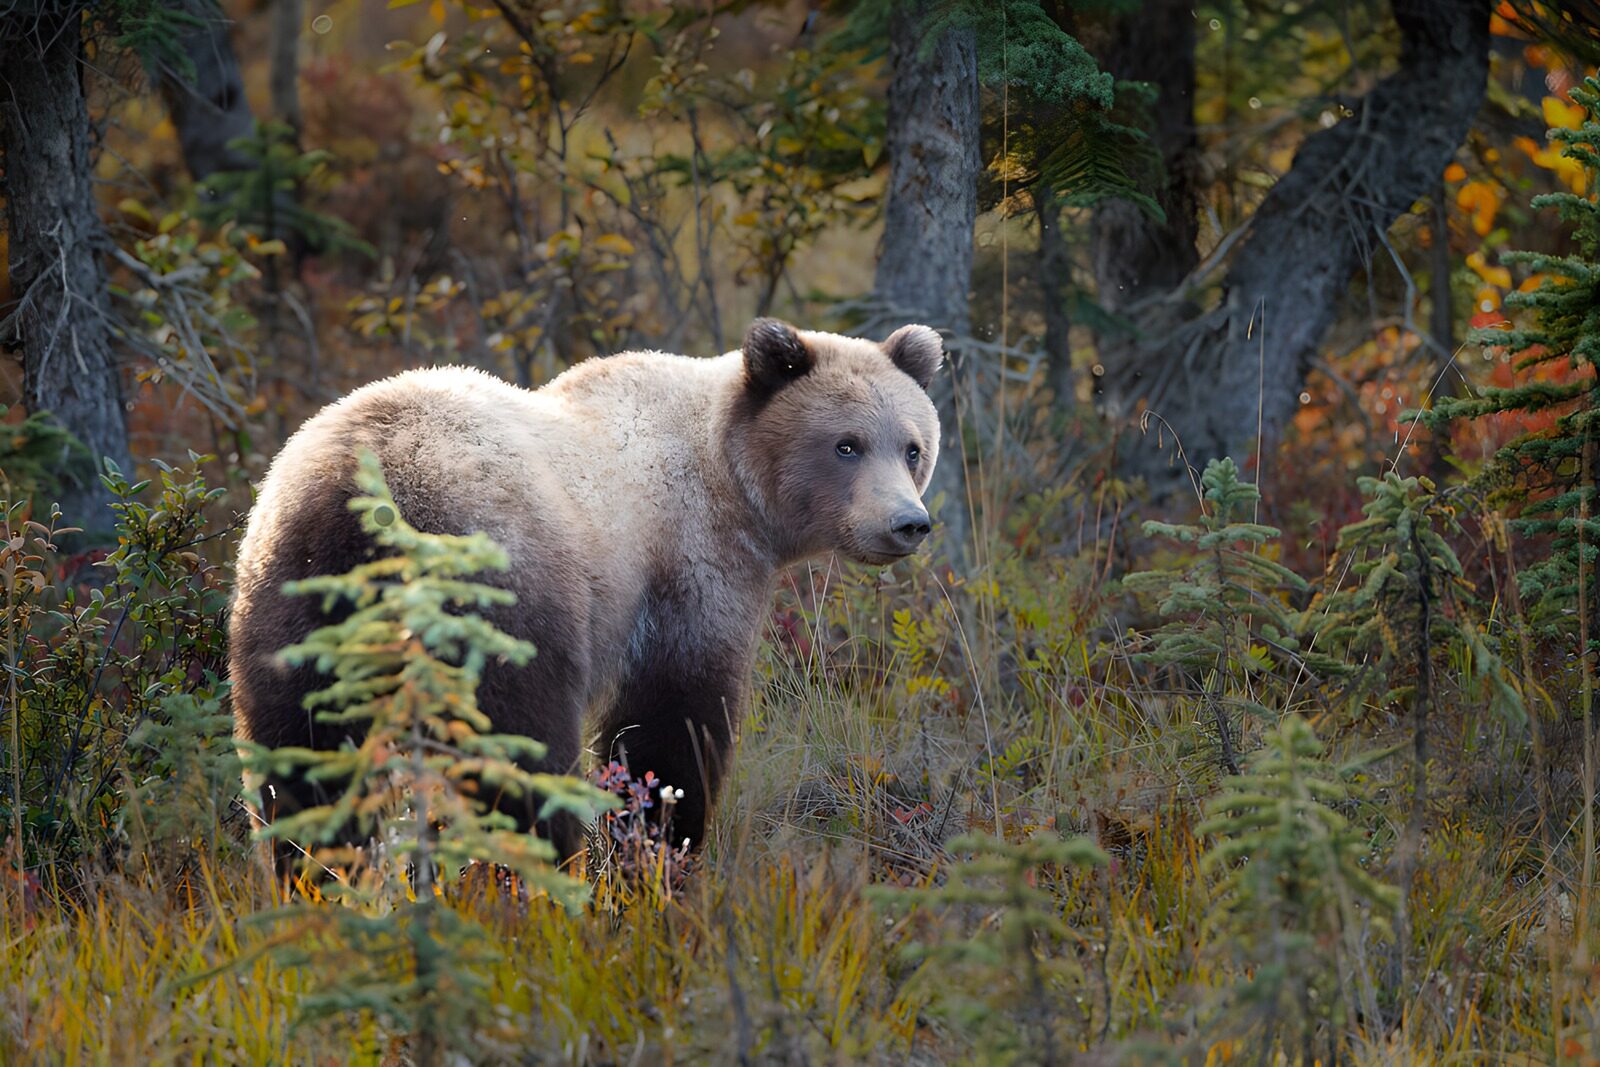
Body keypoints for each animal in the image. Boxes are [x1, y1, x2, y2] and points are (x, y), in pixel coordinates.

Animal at [228, 318, 943, 861]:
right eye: (847, 445)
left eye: (911, 447)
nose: (907, 524)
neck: (733, 481)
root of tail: (370, 496)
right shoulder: (685, 566)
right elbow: (671, 724)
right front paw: (662, 844)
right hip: (506, 583)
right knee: (518, 749)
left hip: (295, 584)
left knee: (299, 748)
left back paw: (311, 868)